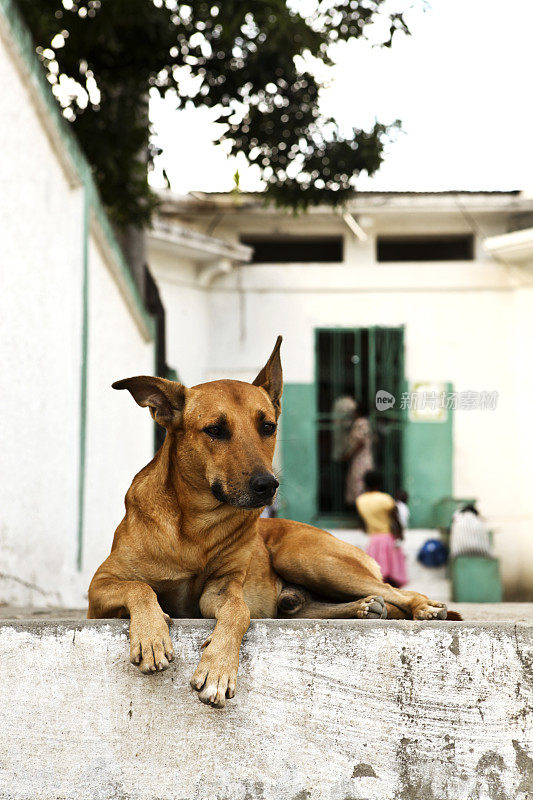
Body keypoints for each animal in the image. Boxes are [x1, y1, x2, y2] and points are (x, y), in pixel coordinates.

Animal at [87, 336, 454, 708]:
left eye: (268, 427)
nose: (267, 485)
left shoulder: (222, 590)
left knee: (397, 590)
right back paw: (361, 608)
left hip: (305, 557)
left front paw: (218, 669)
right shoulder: (98, 588)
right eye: (215, 430)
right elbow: (138, 586)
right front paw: (152, 637)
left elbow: (239, 611)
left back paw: (420, 607)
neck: (194, 526)